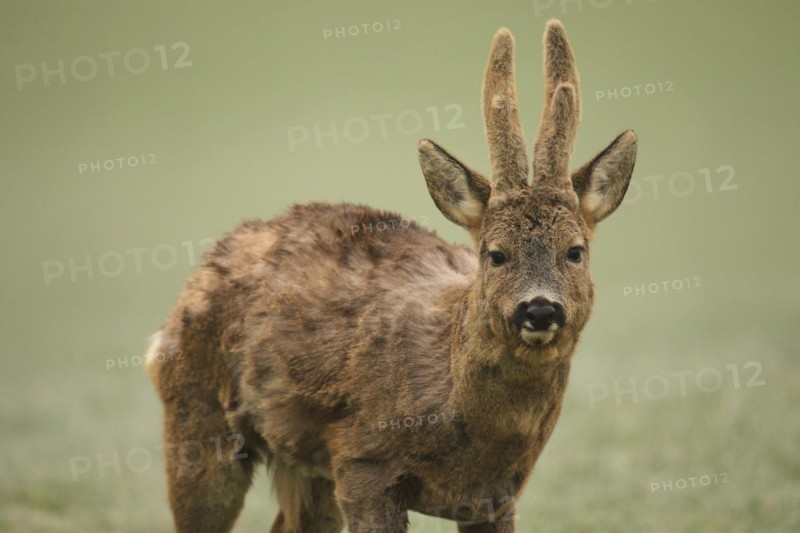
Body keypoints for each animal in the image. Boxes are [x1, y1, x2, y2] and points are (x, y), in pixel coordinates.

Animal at [144, 19, 637, 533]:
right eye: (495, 254)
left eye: (575, 251)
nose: (539, 309)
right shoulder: (362, 461)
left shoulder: (499, 494)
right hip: (195, 415)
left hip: (306, 467)